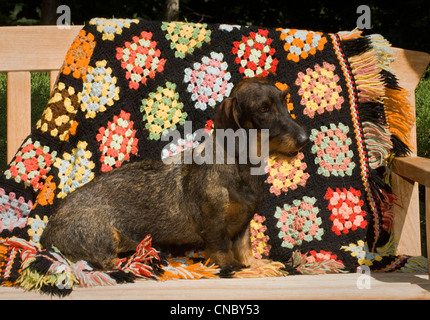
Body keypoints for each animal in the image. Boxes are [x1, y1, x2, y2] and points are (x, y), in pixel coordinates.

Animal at [40, 77, 308, 270]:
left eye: (284, 101)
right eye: (263, 109)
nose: (304, 139)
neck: (242, 168)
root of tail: (47, 233)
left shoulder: (243, 224)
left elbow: (245, 248)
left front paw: (257, 265)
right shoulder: (214, 225)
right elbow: (223, 252)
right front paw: (236, 268)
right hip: (104, 235)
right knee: (105, 262)